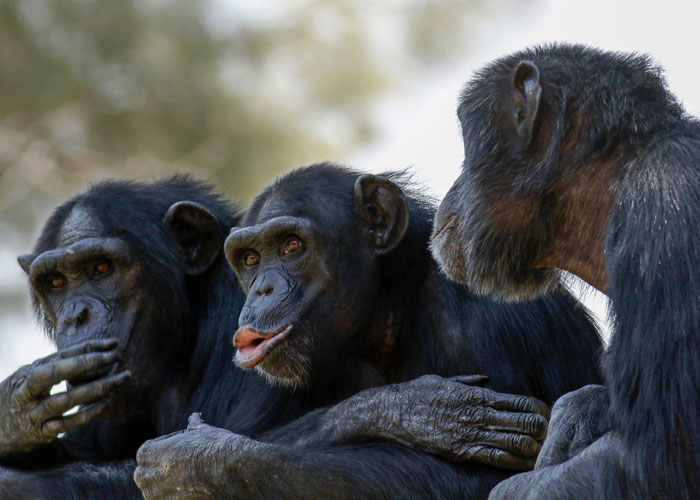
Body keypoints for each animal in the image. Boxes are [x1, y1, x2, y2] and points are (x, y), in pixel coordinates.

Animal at [134, 162, 604, 498]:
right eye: (250, 258)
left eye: (291, 246)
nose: (263, 288)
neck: (385, 312)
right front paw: (412, 409)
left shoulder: (491, 321)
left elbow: (482, 481)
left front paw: (194, 462)